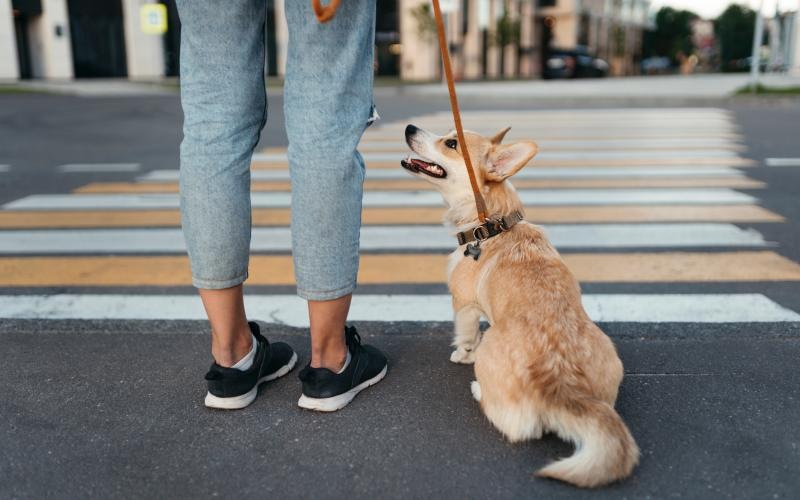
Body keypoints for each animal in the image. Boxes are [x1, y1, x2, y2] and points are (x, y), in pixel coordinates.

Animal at [404, 125, 640, 488]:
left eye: (451, 143)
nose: (409, 128)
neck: (490, 224)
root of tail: (561, 384)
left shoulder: (463, 306)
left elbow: (465, 336)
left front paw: (461, 354)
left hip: (492, 358)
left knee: (513, 425)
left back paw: (478, 389)